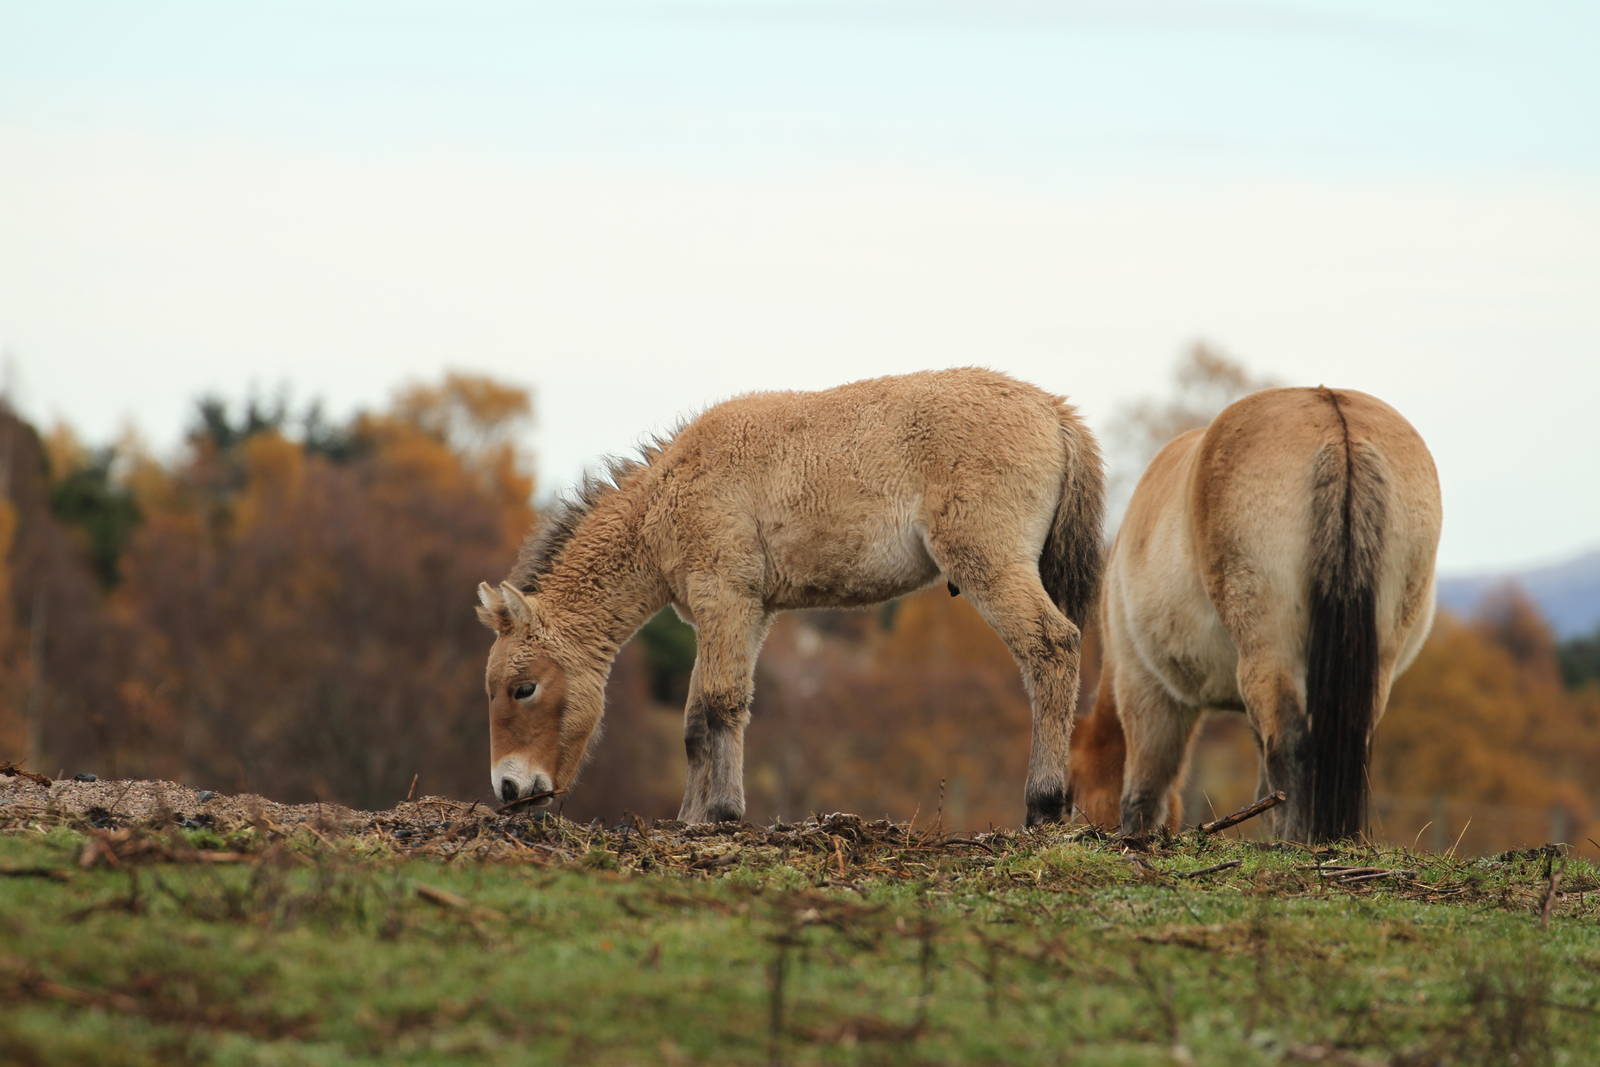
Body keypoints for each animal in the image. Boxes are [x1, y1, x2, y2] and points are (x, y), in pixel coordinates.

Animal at [474, 368, 1105, 825]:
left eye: (523, 687)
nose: (509, 787)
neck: (668, 496)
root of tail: (1055, 410)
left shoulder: (726, 598)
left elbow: (722, 702)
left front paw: (723, 813)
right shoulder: (741, 614)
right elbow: (696, 720)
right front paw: (688, 821)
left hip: (990, 564)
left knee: (1052, 647)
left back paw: (1044, 804)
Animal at [1067, 387, 1440, 843]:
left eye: (1071, 796)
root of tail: (1337, 425)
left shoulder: (1146, 686)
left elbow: (1144, 792)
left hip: (1267, 655)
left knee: (1291, 749)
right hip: (1375, 662)